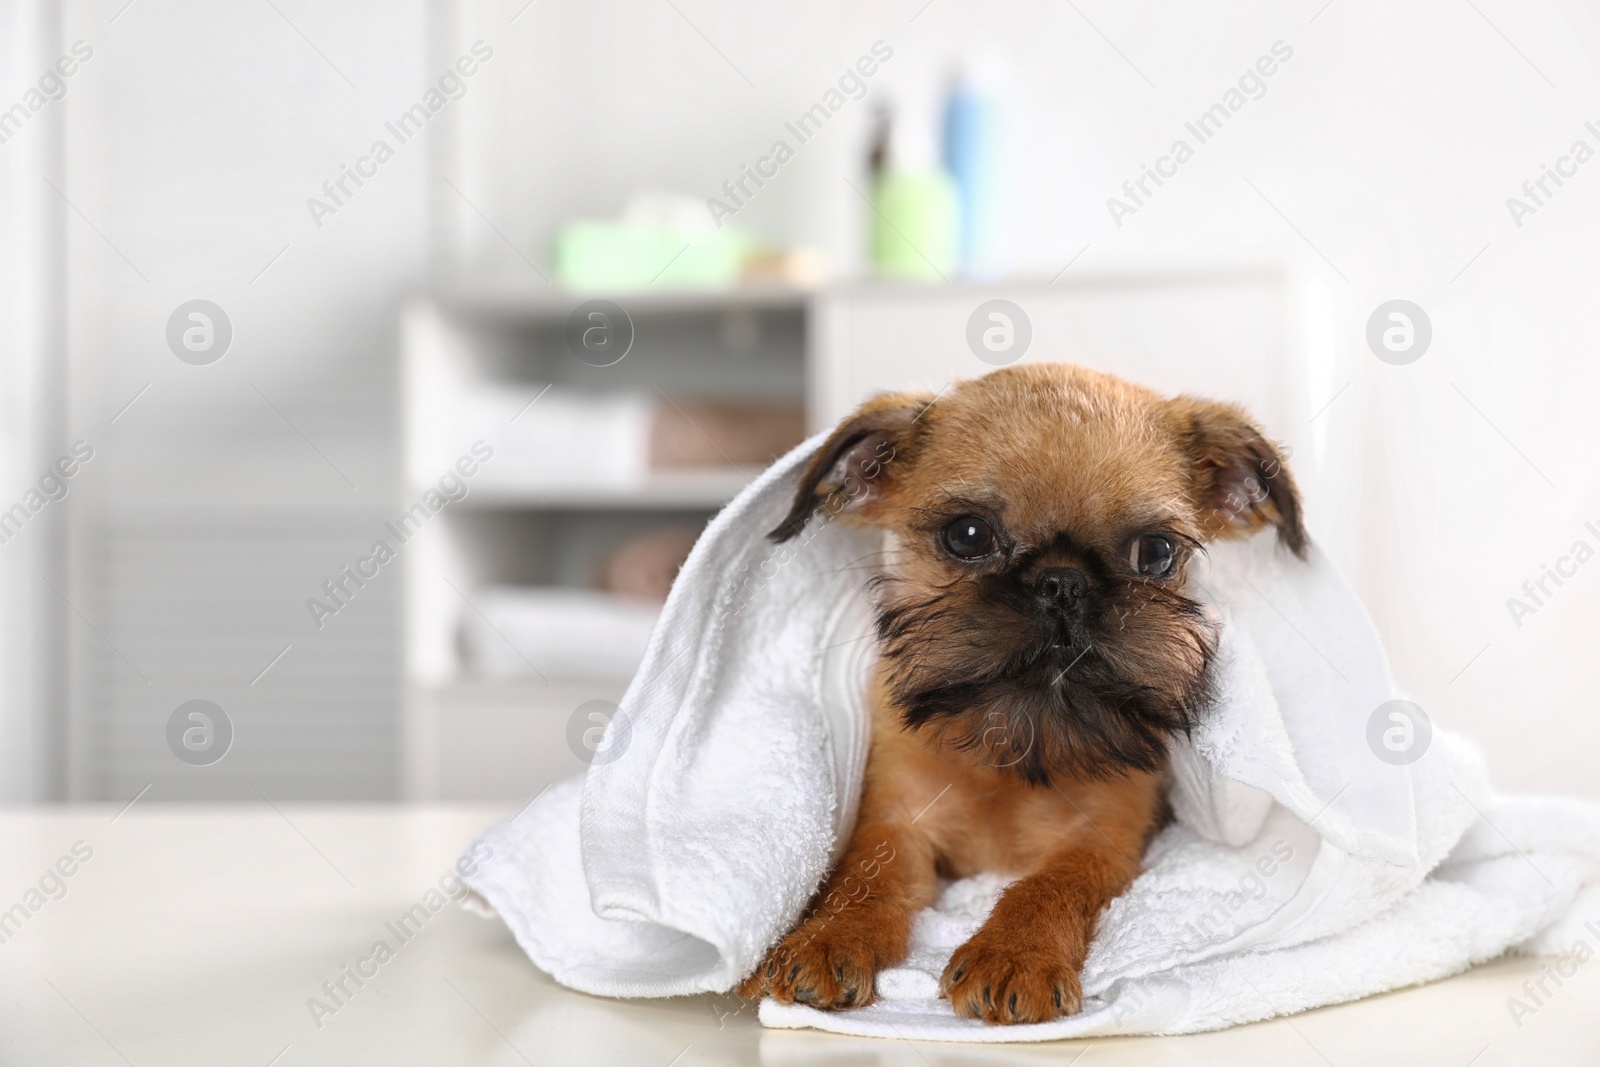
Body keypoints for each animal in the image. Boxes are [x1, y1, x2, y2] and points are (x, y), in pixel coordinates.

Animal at [742, 361, 1305, 1023]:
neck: (1007, 752)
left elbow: (1049, 883)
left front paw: (1016, 953)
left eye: (1156, 553)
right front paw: (828, 936)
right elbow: (865, 876)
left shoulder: (1102, 841)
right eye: (967, 535)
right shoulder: (894, 819)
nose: (1063, 583)